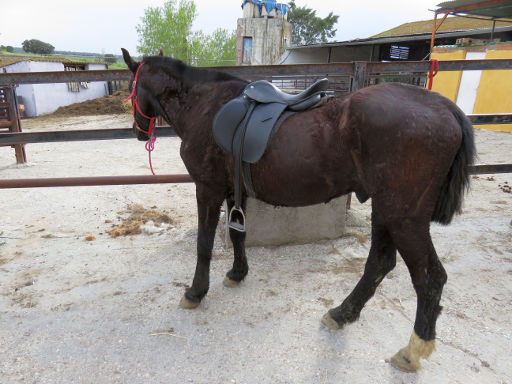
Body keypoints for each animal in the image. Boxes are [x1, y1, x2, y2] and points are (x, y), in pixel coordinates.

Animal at [122, 48, 474, 372]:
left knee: (429, 277)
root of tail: (445, 107)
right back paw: (342, 313)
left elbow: (204, 244)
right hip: (386, 210)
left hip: (404, 216)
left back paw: (412, 350)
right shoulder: (236, 191)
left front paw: (195, 292)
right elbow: (238, 236)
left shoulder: (207, 190)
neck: (204, 105)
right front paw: (237, 273)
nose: (138, 131)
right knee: (379, 263)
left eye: (131, 86)